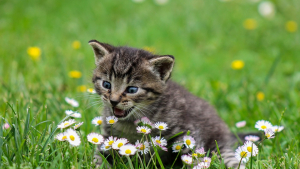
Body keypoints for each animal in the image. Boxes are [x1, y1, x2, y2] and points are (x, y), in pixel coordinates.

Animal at [89, 39, 244, 168]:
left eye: (132, 89)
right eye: (106, 84)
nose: (113, 100)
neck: (130, 122)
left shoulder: (187, 132)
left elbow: (192, 157)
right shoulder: (107, 138)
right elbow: (99, 157)